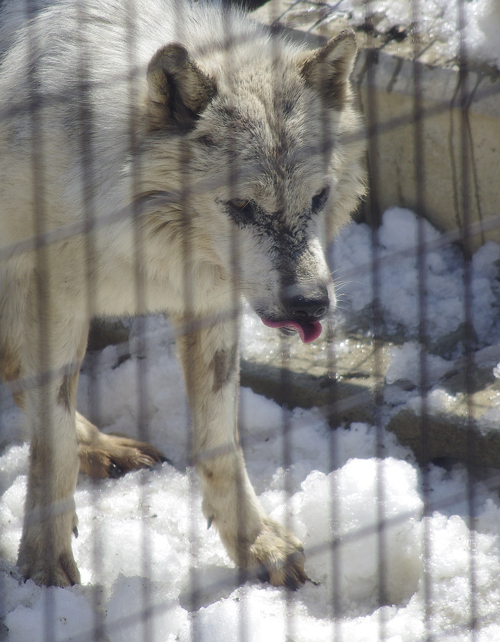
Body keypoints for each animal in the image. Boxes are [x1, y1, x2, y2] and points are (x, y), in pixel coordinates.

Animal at [0, 0, 368, 588]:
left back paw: (102, 447)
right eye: (241, 207)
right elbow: (50, 444)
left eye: (318, 198)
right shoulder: (55, 297)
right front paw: (42, 564)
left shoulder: (209, 302)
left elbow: (220, 443)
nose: (312, 304)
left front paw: (254, 543)